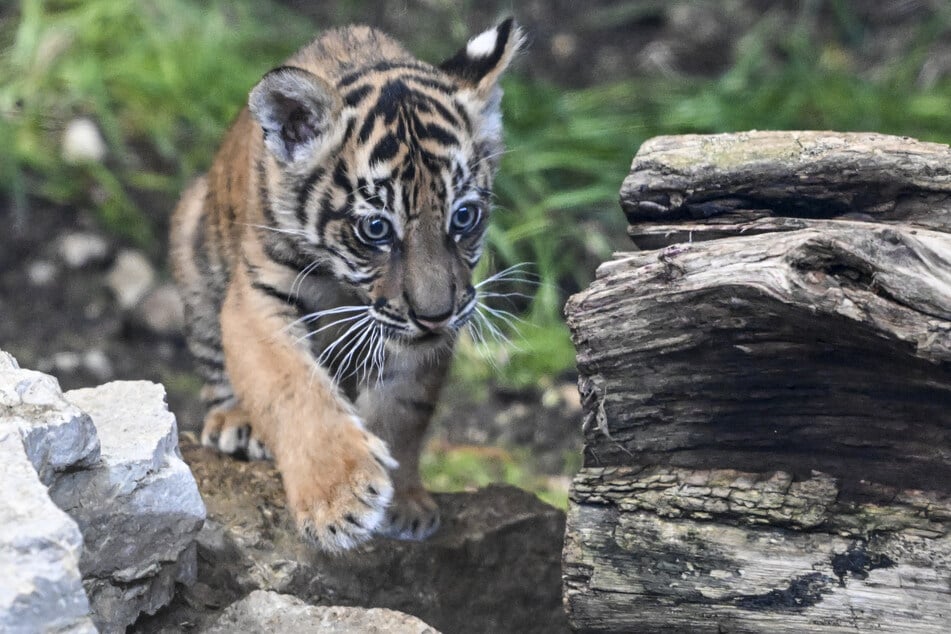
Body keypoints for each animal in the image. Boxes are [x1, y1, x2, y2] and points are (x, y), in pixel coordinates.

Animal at [170, 19, 524, 551]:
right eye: (375, 228)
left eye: (464, 217)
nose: (435, 315)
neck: (344, 287)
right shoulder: (257, 297)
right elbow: (290, 386)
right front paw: (339, 497)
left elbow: (403, 410)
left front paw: (403, 503)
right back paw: (236, 423)